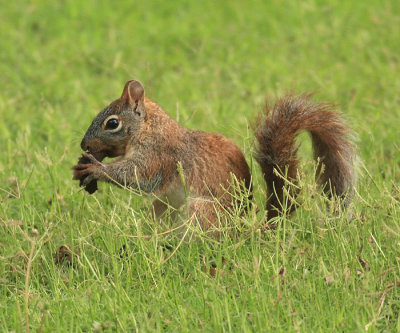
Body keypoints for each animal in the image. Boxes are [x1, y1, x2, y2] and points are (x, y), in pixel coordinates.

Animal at [73, 80, 358, 231]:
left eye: (112, 123)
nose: (84, 145)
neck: (149, 129)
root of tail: (244, 232)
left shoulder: (158, 155)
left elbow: (138, 176)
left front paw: (95, 169)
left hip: (202, 212)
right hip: (164, 207)